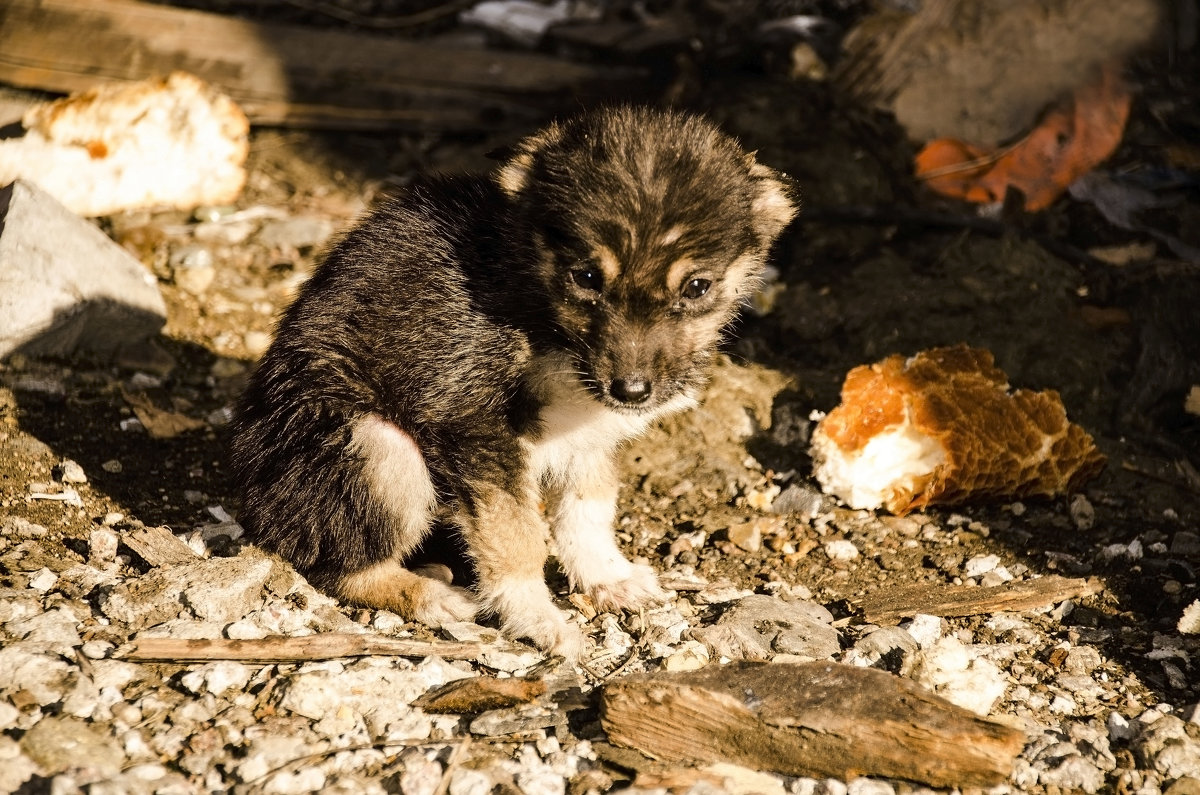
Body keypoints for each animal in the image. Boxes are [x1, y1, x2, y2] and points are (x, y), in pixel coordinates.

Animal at [231, 105, 796, 658]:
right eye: (587, 278)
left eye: (697, 287)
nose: (632, 392)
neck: (536, 306)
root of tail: (255, 502)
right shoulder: (472, 419)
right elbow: (516, 534)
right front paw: (538, 619)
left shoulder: (588, 429)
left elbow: (588, 509)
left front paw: (607, 577)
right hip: (378, 447)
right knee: (334, 564)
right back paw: (427, 595)